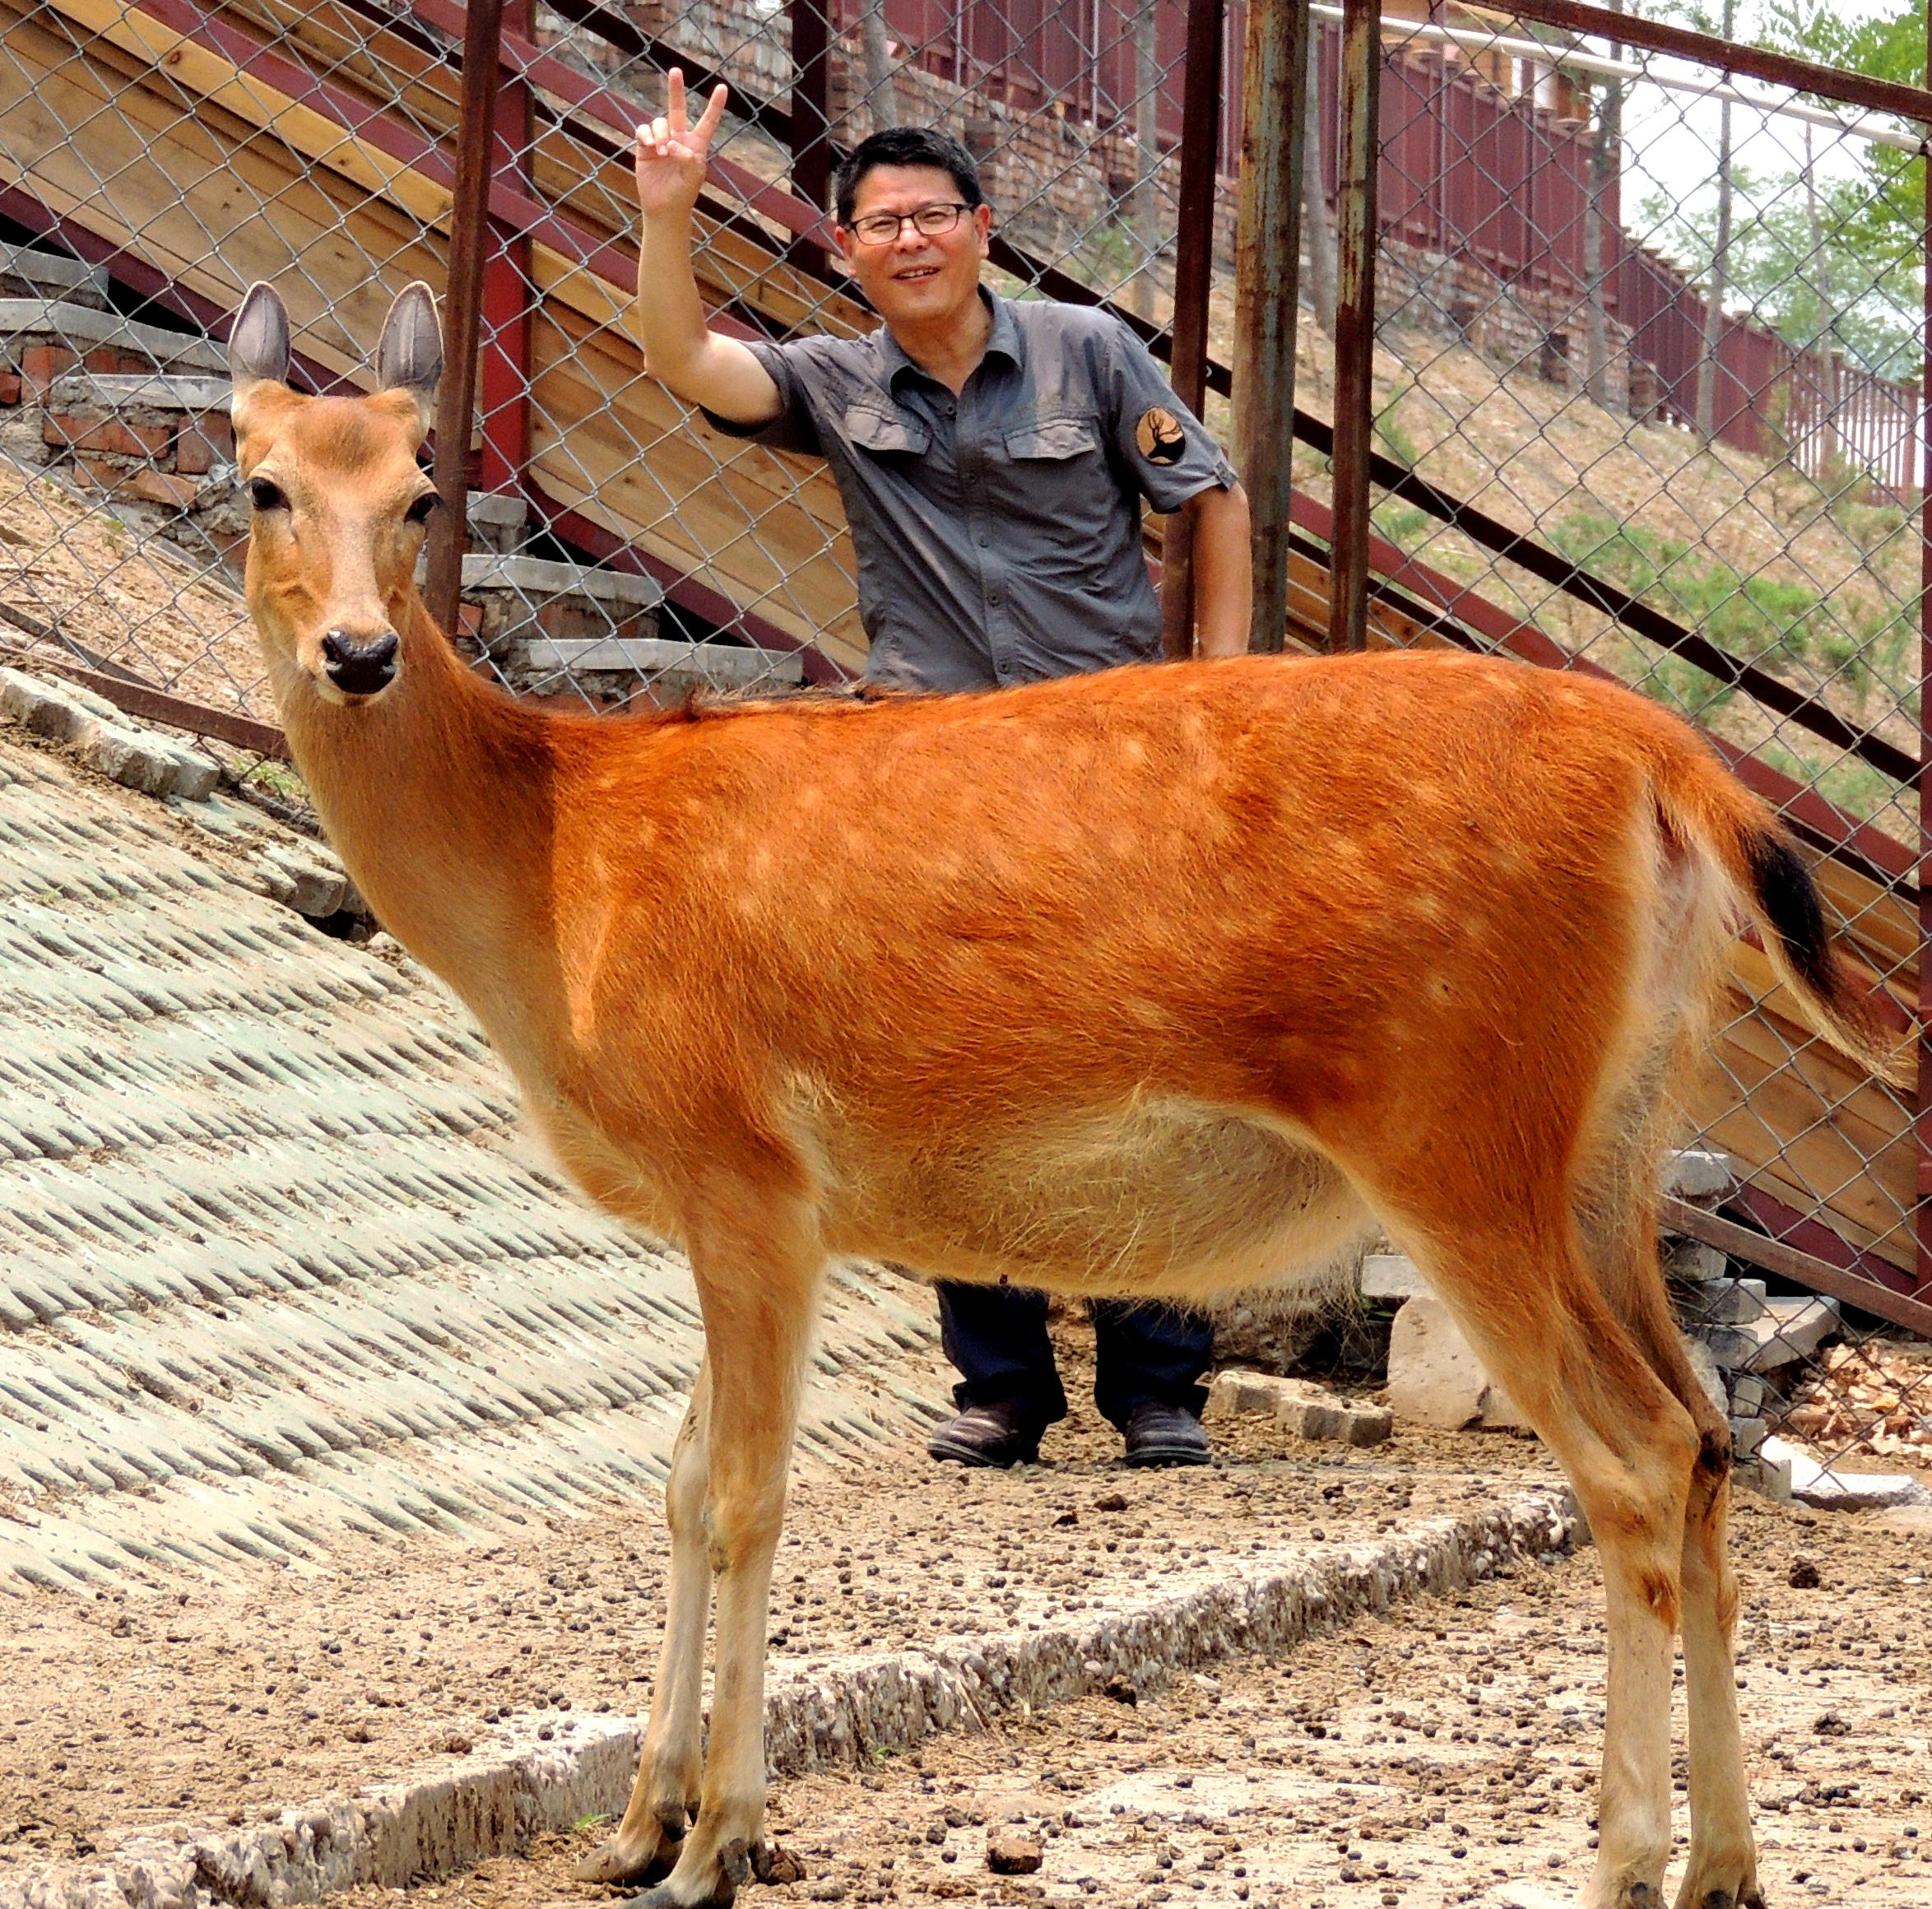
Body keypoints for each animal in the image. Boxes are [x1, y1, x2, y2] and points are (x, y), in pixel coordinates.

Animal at [230, 280, 1901, 1909]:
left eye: (418, 486)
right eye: (265, 482)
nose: (361, 655)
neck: (551, 881)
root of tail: (1677, 773)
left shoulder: (747, 1168)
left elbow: (746, 1490)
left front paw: (716, 1847)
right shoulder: (750, 1208)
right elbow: (683, 1478)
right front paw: (639, 1824)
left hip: (1458, 1132)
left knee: (1633, 1458)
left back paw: (1624, 1861)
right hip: (1613, 1146)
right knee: (1706, 1437)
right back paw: (1728, 1865)